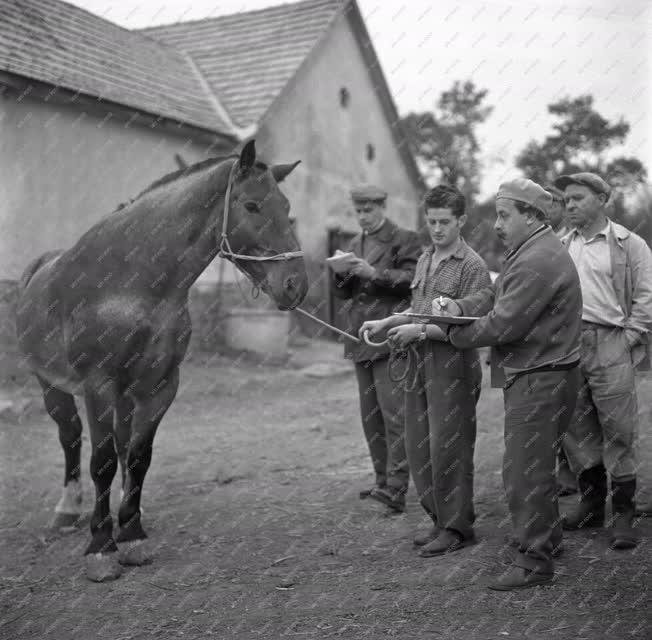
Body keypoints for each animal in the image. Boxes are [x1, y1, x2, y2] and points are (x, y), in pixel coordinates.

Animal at [14, 140, 308, 580]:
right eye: (252, 205)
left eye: (287, 206)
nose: (295, 286)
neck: (133, 282)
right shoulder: (98, 385)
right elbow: (101, 461)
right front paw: (101, 548)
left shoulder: (161, 385)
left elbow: (138, 456)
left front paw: (132, 533)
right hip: (51, 385)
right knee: (71, 437)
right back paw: (67, 511)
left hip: (124, 394)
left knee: (121, 444)